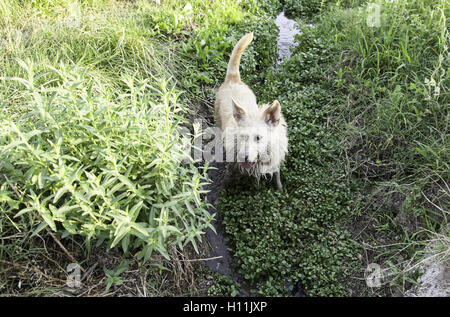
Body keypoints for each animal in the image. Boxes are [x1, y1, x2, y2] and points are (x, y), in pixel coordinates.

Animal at [215, 32, 288, 190]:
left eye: (258, 138)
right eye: (242, 136)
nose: (243, 157)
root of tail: (233, 79)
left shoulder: (275, 159)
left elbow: (277, 174)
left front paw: (279, 188)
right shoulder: (233, 164)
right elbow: (227, 177)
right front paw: (224, 189)